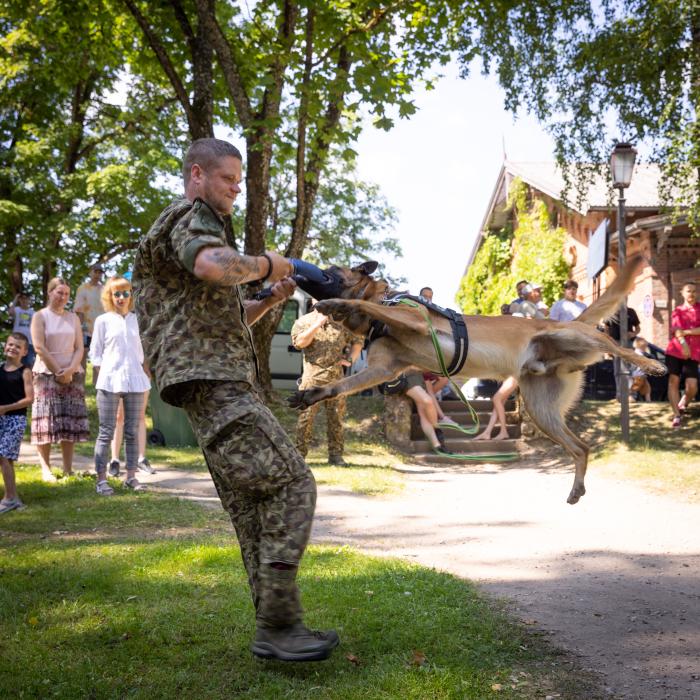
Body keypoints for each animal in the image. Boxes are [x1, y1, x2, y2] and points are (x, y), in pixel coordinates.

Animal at [288, 254, 668, 506]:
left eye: (328, 270)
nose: (296, 269)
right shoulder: (380, 370)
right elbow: (336, 387)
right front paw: (311, 394)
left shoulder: (409, 318)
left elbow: (365, 304)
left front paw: (336, 303)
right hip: (541, 409)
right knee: (582, 447)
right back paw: (576, 489)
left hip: (574, 337)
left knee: (612, 343)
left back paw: (650, 363)